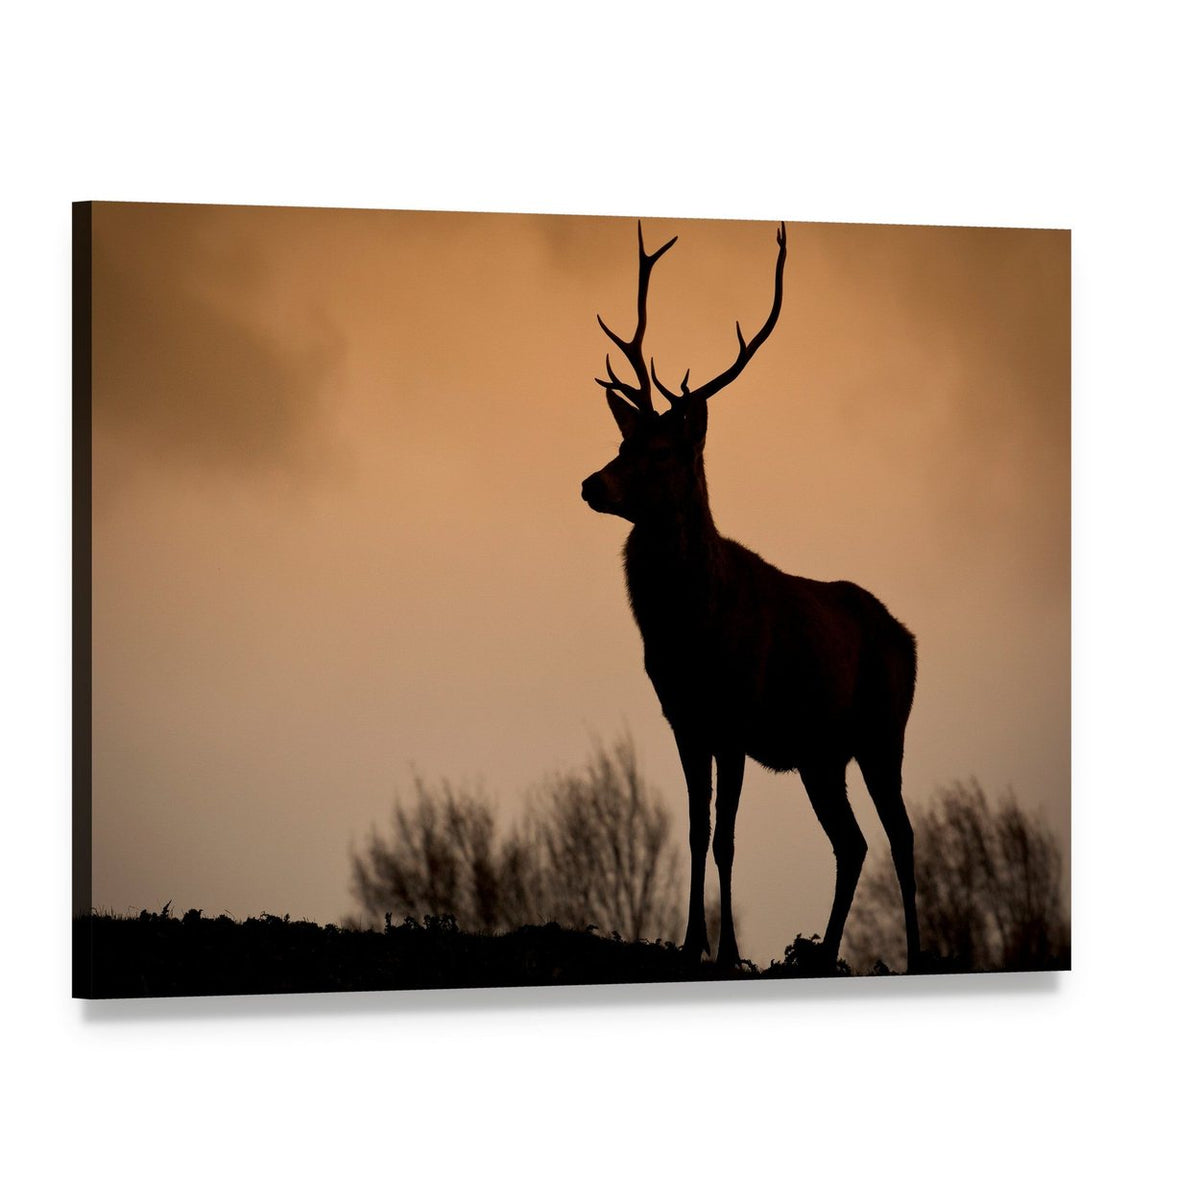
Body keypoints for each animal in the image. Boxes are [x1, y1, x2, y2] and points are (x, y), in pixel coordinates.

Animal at [581, 220, 921, 973]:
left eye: (663, 452)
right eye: (622, 441)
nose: (590, 483)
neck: (689, 631)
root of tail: (909, 637)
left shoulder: (735, 714)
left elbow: (728, 836)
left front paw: (728, 952)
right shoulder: (683, 718)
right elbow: (694, 829)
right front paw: (690, 944)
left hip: (883, 730)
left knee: (902, 837)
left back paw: (916, 955)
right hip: (821, 755)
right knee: (852, 842)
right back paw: (821, 954)